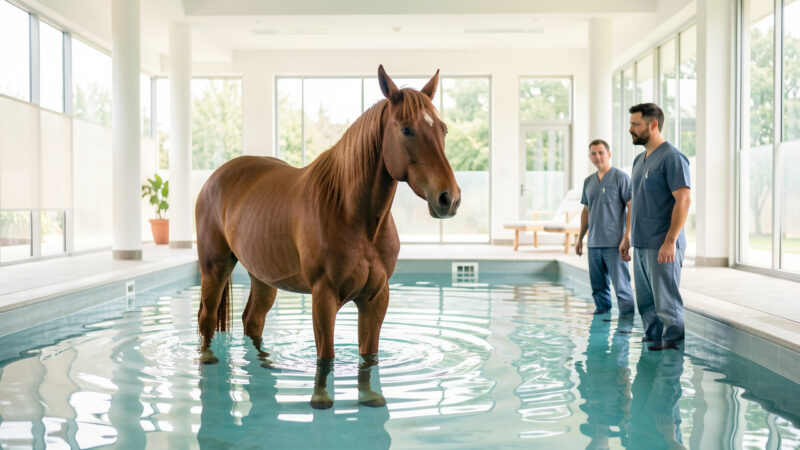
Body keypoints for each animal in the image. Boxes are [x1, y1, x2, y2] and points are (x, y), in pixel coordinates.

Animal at [194, 65, 461, 409]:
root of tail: (215, 178)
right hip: (215, 267)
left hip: (263, 277)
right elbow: (326, 356)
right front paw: (321, 398)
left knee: (252, 320)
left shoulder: (376, 297)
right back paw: (208, 359)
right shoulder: (323, 296)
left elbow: (369, 356)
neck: (352, 216)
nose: (449, 199)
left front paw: (370, 396)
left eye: (442, 130)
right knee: (206, 317)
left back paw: (265, 364)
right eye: (406, 130)